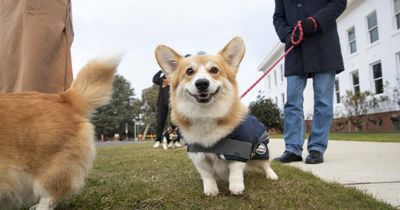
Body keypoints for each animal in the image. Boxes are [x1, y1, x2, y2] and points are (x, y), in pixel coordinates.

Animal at [155, 37, 278, 196]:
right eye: (189, 71)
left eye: (214, 70)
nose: (202, 83)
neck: (206, 115)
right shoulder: (198, 156)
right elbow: (206, 174)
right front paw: (211, 189)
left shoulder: (240, 147)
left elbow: (236, 168)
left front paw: (236, 187)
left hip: (260, 151)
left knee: (265, 164)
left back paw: (272, 175)